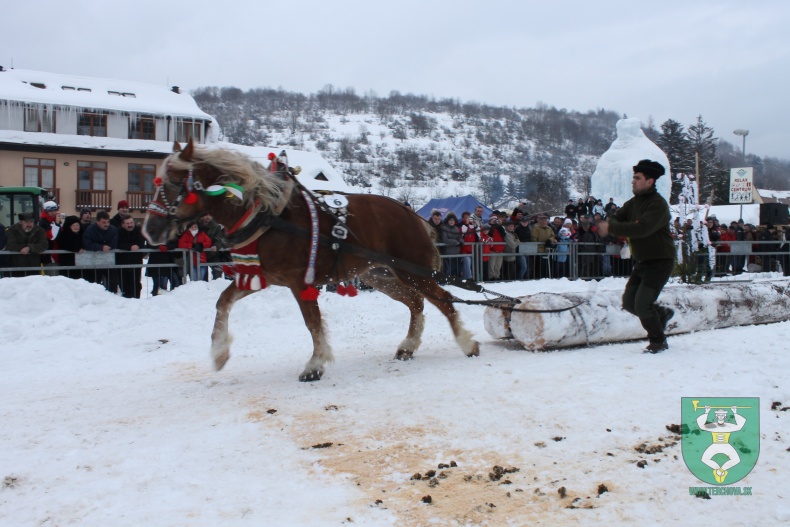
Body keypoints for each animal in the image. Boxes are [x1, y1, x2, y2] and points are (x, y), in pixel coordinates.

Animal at [144, 139, 482, 380]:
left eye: (174, 183)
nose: (150, 230)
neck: (268, 215)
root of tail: (412, 215)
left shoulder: (298, 281)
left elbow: (312, 322)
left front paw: (315, 364)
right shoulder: (259, 276)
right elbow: (223, 302)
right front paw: (218, 353)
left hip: (414, 271)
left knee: (444, 301)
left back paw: (466, 343)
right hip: (380, 275)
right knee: (416, 303)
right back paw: (409, 345)